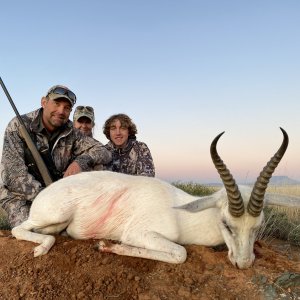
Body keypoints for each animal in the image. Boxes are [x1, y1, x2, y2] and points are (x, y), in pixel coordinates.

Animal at [11, 127, 300, 268]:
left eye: (258, 226)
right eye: (227, 223)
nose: (244, 263)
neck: (183, 213)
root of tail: (46, 191)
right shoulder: (140, 234)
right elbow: (181, 253)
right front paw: (107, 246)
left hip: (55, 222)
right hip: (53, 215)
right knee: (18, 229)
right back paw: (40, 248)